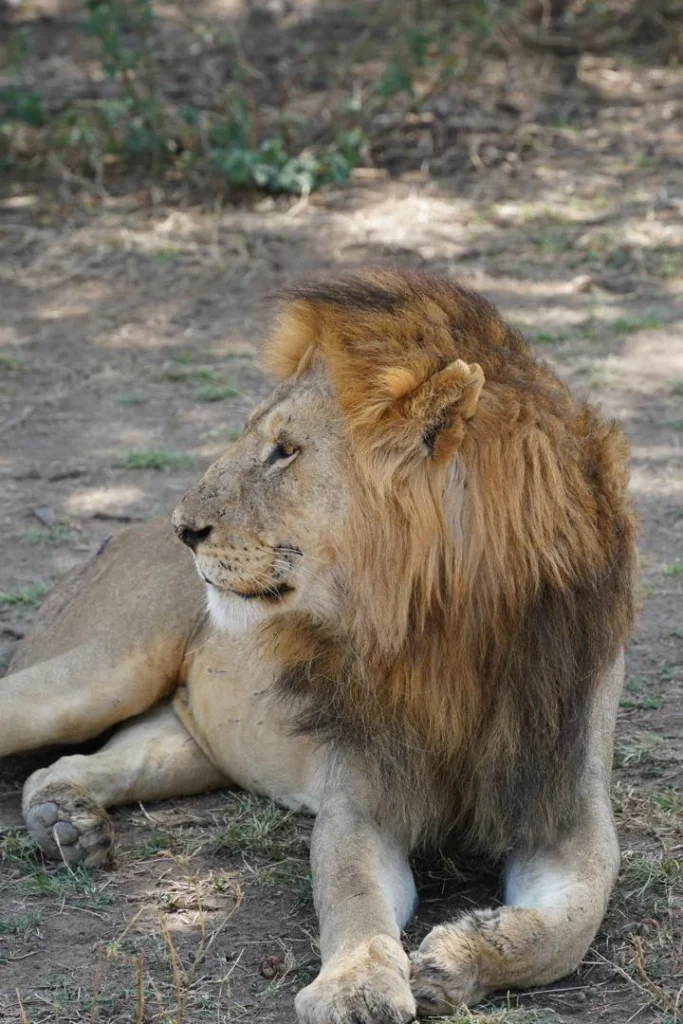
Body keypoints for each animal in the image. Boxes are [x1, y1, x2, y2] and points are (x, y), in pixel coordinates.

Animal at [1, 270, 637, 1022]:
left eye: (285, 450)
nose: (183, 528)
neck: (446, 636)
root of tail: (117, 534)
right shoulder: (360, 804)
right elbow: (355, 901)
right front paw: (356, 987)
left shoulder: (566, 814)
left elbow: (569, 926)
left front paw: (460, 957)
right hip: (99, 671)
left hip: (193, 745)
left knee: (77, 763)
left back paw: (65, 822)